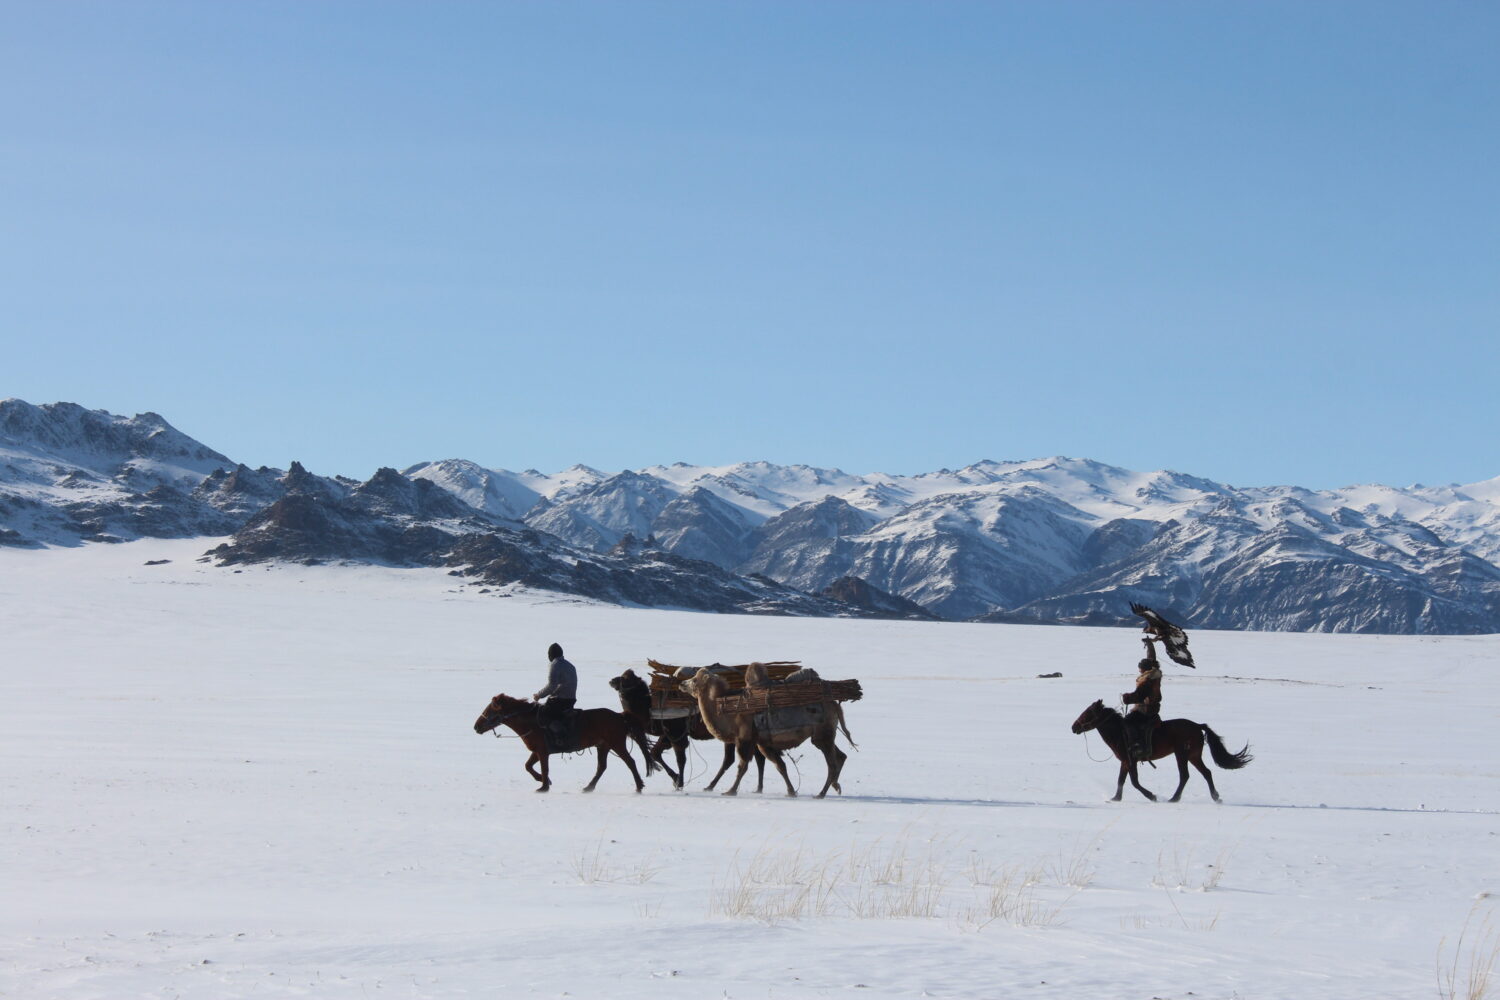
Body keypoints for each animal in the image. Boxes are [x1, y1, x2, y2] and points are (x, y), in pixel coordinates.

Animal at [471, 695, 654, 797]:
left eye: (489, 710)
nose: (476, 726)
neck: (531, 722)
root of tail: (619, 715)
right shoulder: (536, 752)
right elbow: (528, 766)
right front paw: (543, 781)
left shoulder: (542, 752)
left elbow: (544, 768)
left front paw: (544, 786)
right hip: (603, 746)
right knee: (601, 767)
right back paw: (589, 787)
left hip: (617, 744)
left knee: (630, 762)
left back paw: (639, 787)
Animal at [606, 668, 768, 791]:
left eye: (626, 678)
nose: (612, 681)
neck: (649, 709)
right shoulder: (667, 735)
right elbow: (655, 753)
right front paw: (676, 778)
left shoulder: (676, 733)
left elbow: (680, 759)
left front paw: (680, 784)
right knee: (751, 757)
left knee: (739, 758)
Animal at [1074, 704, 1248, 803]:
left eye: (1087, 714)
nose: (1073, 727)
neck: (1119, 732)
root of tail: (1198, 726)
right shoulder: (1125, 761)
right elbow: (1121, 780)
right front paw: (1116, 798)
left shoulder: (1131, 760)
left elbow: (1134, 782)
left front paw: (1152, 796)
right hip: (1193, 756)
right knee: (1207, 773)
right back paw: (1216, 797)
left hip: (1182, 755)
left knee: (1185, 776)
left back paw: (1174, 799)